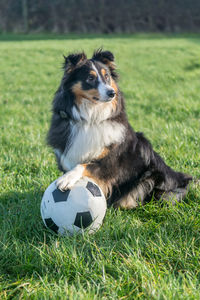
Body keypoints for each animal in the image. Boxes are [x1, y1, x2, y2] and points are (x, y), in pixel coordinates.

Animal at [47, 49, 192, 209]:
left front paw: (67, 178)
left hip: (150, 175)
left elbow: (85, 165)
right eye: (90, 78)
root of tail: (179, 178)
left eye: (107, 77)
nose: (112, 93)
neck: (91, 118)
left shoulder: (111, 162)